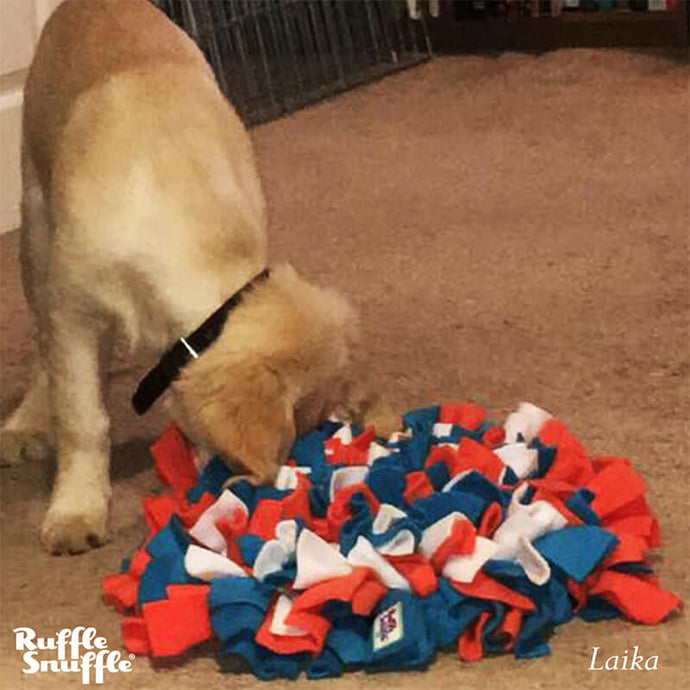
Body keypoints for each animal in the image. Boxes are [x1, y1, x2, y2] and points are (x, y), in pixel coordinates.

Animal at [0, 0, 388, 552]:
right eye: (299, 422)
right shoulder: (73, 311)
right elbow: (82, 417)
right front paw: (76, 510)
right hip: (35, 227)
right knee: (43, 347)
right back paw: (27, 422)